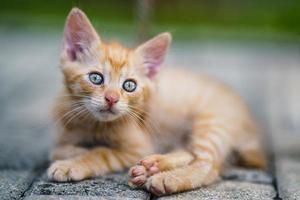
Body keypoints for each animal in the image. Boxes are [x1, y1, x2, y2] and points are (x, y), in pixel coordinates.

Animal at [48, 7, 266, 195]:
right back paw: (153, 166)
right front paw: (72, 152)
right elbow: (57, 149)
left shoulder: (138, 148)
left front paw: (72, 163)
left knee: (208, 164)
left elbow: (101, 152)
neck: (93, 123)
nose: (111, 99)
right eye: (95, 78)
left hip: (212, 121)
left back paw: (166, 178)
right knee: (190, 151)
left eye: (129, 86)